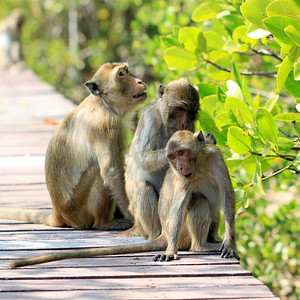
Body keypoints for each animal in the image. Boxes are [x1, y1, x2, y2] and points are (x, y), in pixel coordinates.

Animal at [0, 61, 148, 230]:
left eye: (127, 71)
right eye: (121, 75)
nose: (139, 81)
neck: (105, 104)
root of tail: (58, 211)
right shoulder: (105, 125)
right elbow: (111, 171)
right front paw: (132, 215)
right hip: (77, 209)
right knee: (98, 171)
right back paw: (105, 224)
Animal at [9, 130, 239, 268]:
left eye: (181, 153)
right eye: (172, 157)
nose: (180, 167)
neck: (200, 165)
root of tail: (163, 234)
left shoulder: (216, 157)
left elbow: (228, 194)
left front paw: (229, 241)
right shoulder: (183, 178)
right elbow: (180, 205)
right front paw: (171, 251)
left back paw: (213, 239)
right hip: (181, 233)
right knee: (198, 200)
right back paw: (200, 246)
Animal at [123, 78, 200, 241]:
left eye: (191, 112)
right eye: (181, 109)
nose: (183, 123)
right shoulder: (150, 119)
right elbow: (144, 159)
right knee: (143, 187)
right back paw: (156, 235)